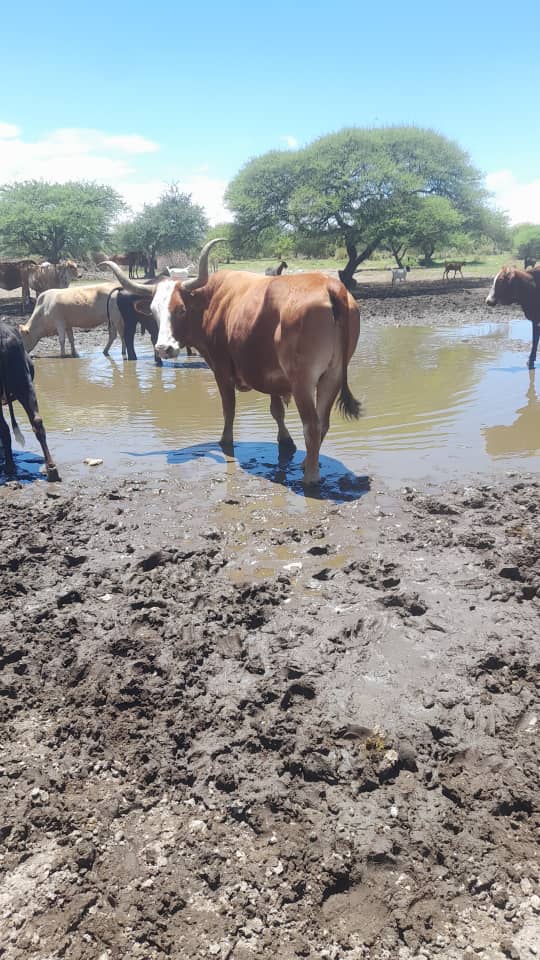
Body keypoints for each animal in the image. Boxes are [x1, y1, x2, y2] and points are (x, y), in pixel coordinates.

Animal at [102, 239, 361, 486]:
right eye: (154, 311)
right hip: (332, 376)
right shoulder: (271, 376)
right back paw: (307, 461)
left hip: (303, 382)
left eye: (180, 309)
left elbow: (229, 409)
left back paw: (310, 476)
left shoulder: (221, 370)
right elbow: (276, 411)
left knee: (312, 426)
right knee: (322, 422)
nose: (163, 348)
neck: (213, 301)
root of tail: (330, 286)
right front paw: (285, 440)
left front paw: (225, 440)